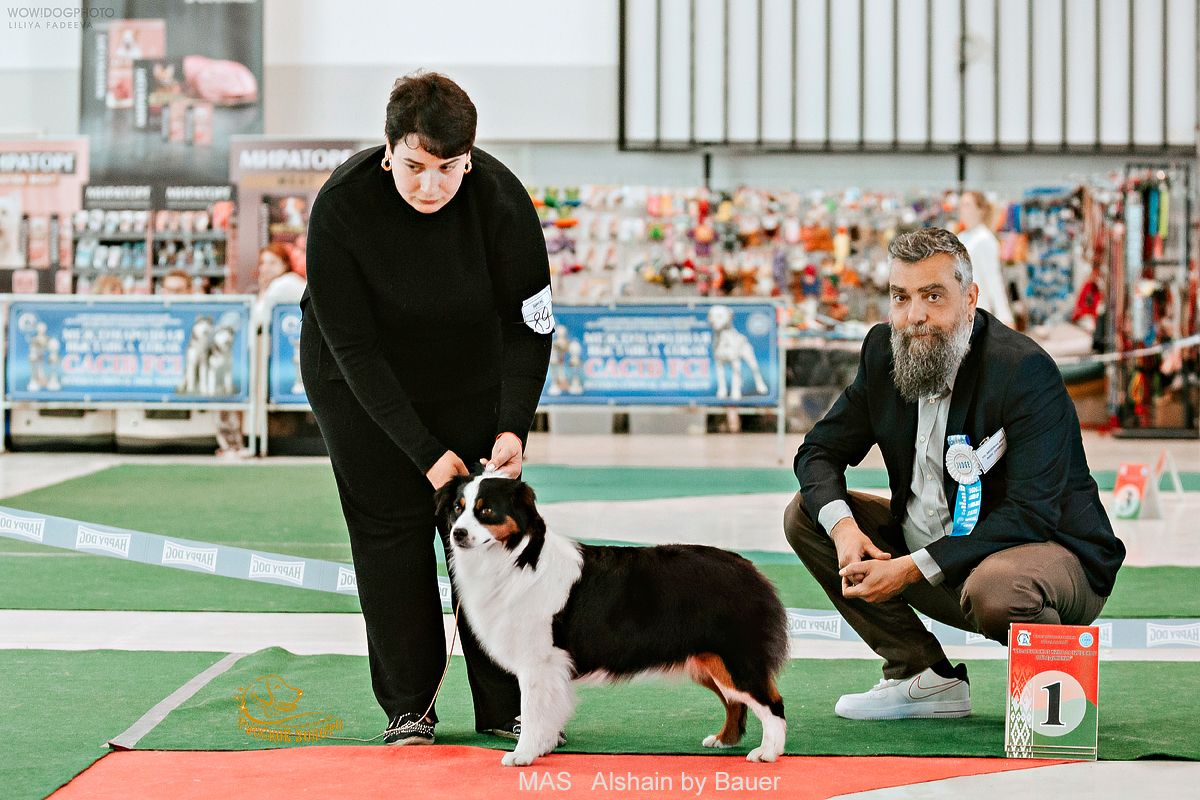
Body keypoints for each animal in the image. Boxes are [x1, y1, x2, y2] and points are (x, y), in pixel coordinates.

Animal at [436, 472, 792, 767]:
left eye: (486, 511)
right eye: (458, 508)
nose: (458, 534)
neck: (516, 559)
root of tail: (749, 568)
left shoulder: (539, 661)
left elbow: (534, 712)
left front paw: (523, 754)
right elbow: (548, 713)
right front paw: (543, 747)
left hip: (736, 657)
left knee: (772, 703)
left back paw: (767, 752)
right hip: (708, 661)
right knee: (736, 702)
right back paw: (723, 740)